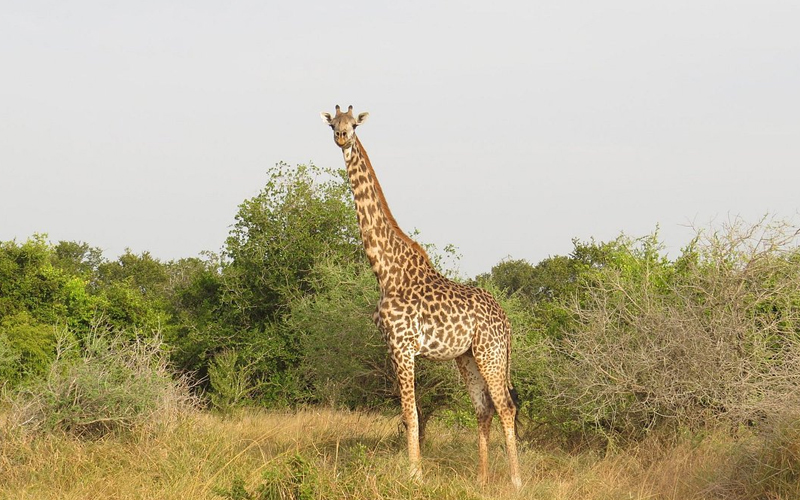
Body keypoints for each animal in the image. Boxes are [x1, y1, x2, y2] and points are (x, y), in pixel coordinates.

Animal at [322, 105, 520, 488]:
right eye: (331, 123)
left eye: (353, 125)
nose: (341, 137)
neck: (385, 270)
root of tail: (506, 320)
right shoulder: (392, 347)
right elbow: (407, 415)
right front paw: (416, 472)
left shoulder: (403, 346)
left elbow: (410, 413)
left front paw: (415, 476)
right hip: (467, 357)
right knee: (483, 408)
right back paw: (481, 480)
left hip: (490, 352)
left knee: (506, 406)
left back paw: (517, 481)